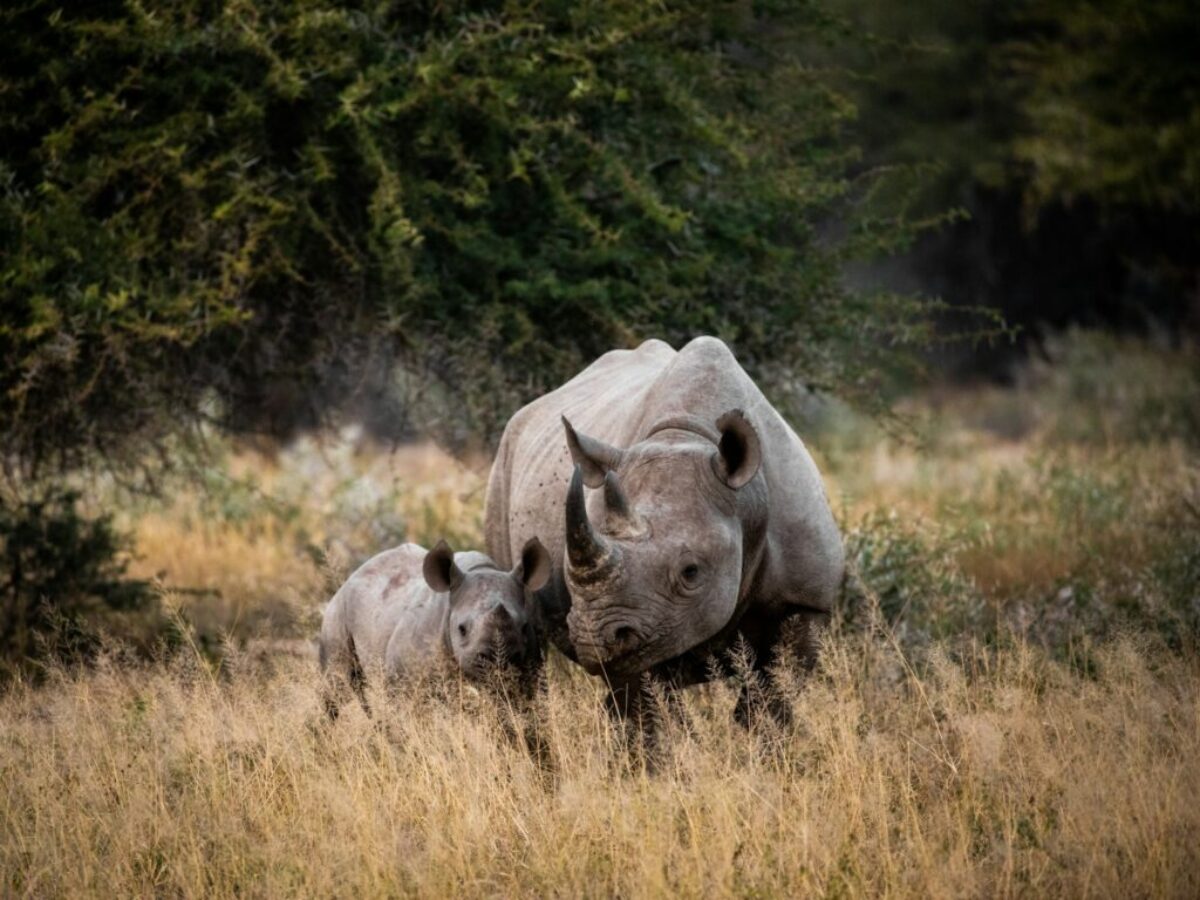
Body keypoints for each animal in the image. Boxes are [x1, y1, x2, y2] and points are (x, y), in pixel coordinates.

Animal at [318, 538, 551, 717]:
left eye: (524, 627)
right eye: (461, 629)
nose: (497, 661)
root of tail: (353, 574)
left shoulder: (531, 673)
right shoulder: (403, 681)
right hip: (336, 613)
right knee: (336, 689)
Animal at [484, 336, 844, 716]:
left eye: (691, 572)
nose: (594, 639)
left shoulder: (805, 602)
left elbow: (772, 698)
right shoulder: (643, 622)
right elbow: (650, 709)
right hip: (503, 467)